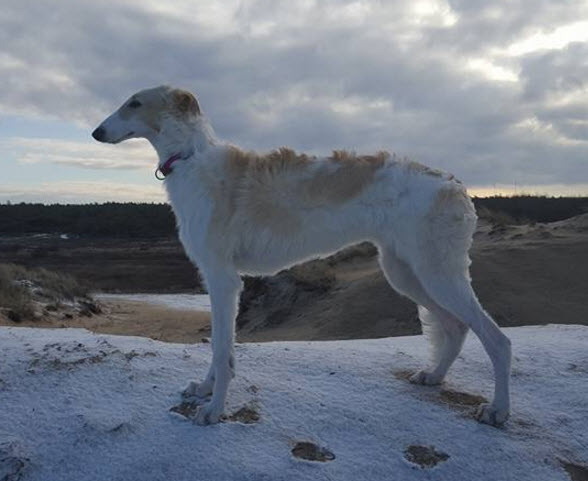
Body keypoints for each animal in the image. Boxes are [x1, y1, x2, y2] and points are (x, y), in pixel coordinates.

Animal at [92, 85, 510, 424]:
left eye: (134, 103)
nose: (96, 132)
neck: (191, 158)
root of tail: (455, 184)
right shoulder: (216, 279)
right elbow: (220, 347)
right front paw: (204, 390)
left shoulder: (223, 279)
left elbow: (222, 350)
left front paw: (213, 410)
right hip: (406, 271)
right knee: (455, 327)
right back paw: (434, 376)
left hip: (437, 271)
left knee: (496, 339)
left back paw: (497, 410)